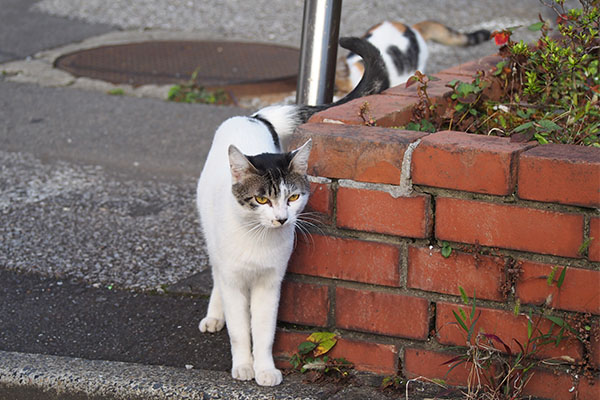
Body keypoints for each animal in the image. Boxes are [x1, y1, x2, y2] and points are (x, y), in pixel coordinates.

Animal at [195, 38, 386, 388]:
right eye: (262, 200)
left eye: (293, 197)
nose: (282, 219)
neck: (257, 239)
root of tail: (254, 117)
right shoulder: (235, 279)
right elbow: (241, 330)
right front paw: (243, 366)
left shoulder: (271, 283)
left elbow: (264, 331)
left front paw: (265, 369)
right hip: (210, 234)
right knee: (216, 273)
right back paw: (215, 316)